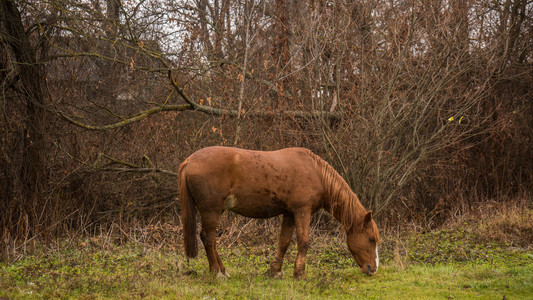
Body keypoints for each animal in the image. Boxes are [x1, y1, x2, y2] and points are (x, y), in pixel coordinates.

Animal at [179, 145, 378, 278]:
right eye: (371, 239)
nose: (373, 268)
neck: (316, 173)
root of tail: (190, 160)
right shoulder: (302, 212)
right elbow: (303, 242)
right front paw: (299, 274)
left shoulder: (289, 214)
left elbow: (284, 242)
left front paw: (274, 271)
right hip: (210, 211)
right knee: (209, 238)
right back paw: (217, 272)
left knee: (210, 240)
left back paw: (223, 270)